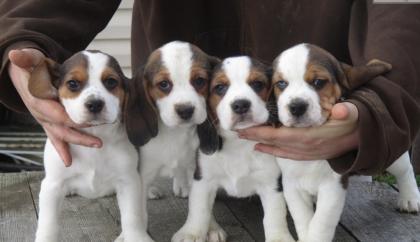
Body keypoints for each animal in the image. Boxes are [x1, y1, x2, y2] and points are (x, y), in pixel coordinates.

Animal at [29, 50, 154, 242]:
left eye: (111, 82)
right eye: (73, 84)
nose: (95, 104)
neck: (96, 137)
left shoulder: (128, 182)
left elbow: (132, 217)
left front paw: (137, 237)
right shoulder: (52, 185)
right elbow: (48, 223)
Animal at [127, 40, 220, 202]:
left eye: (199, 80)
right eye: (164, 84)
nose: (185, 110)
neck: (175, 133)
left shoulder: (195, 170)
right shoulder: (143, 173)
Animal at [172, 55, 294, 242]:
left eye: (257, 84)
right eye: (220, 87)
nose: (241, 104)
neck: (239, 141)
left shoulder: (271, 183)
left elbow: (275, 215)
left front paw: (279, 238)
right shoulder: (204, 179)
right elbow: (200, 209)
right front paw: (191, 233)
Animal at [270, 43, 418, 242]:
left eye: (318, 82)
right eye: (281, 84)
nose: (297, 107)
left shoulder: (333, 186)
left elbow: (320, 223)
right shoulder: (292, 185)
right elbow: (303, 218)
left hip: (391, 157)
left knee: (405, 169)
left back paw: (410, 198)